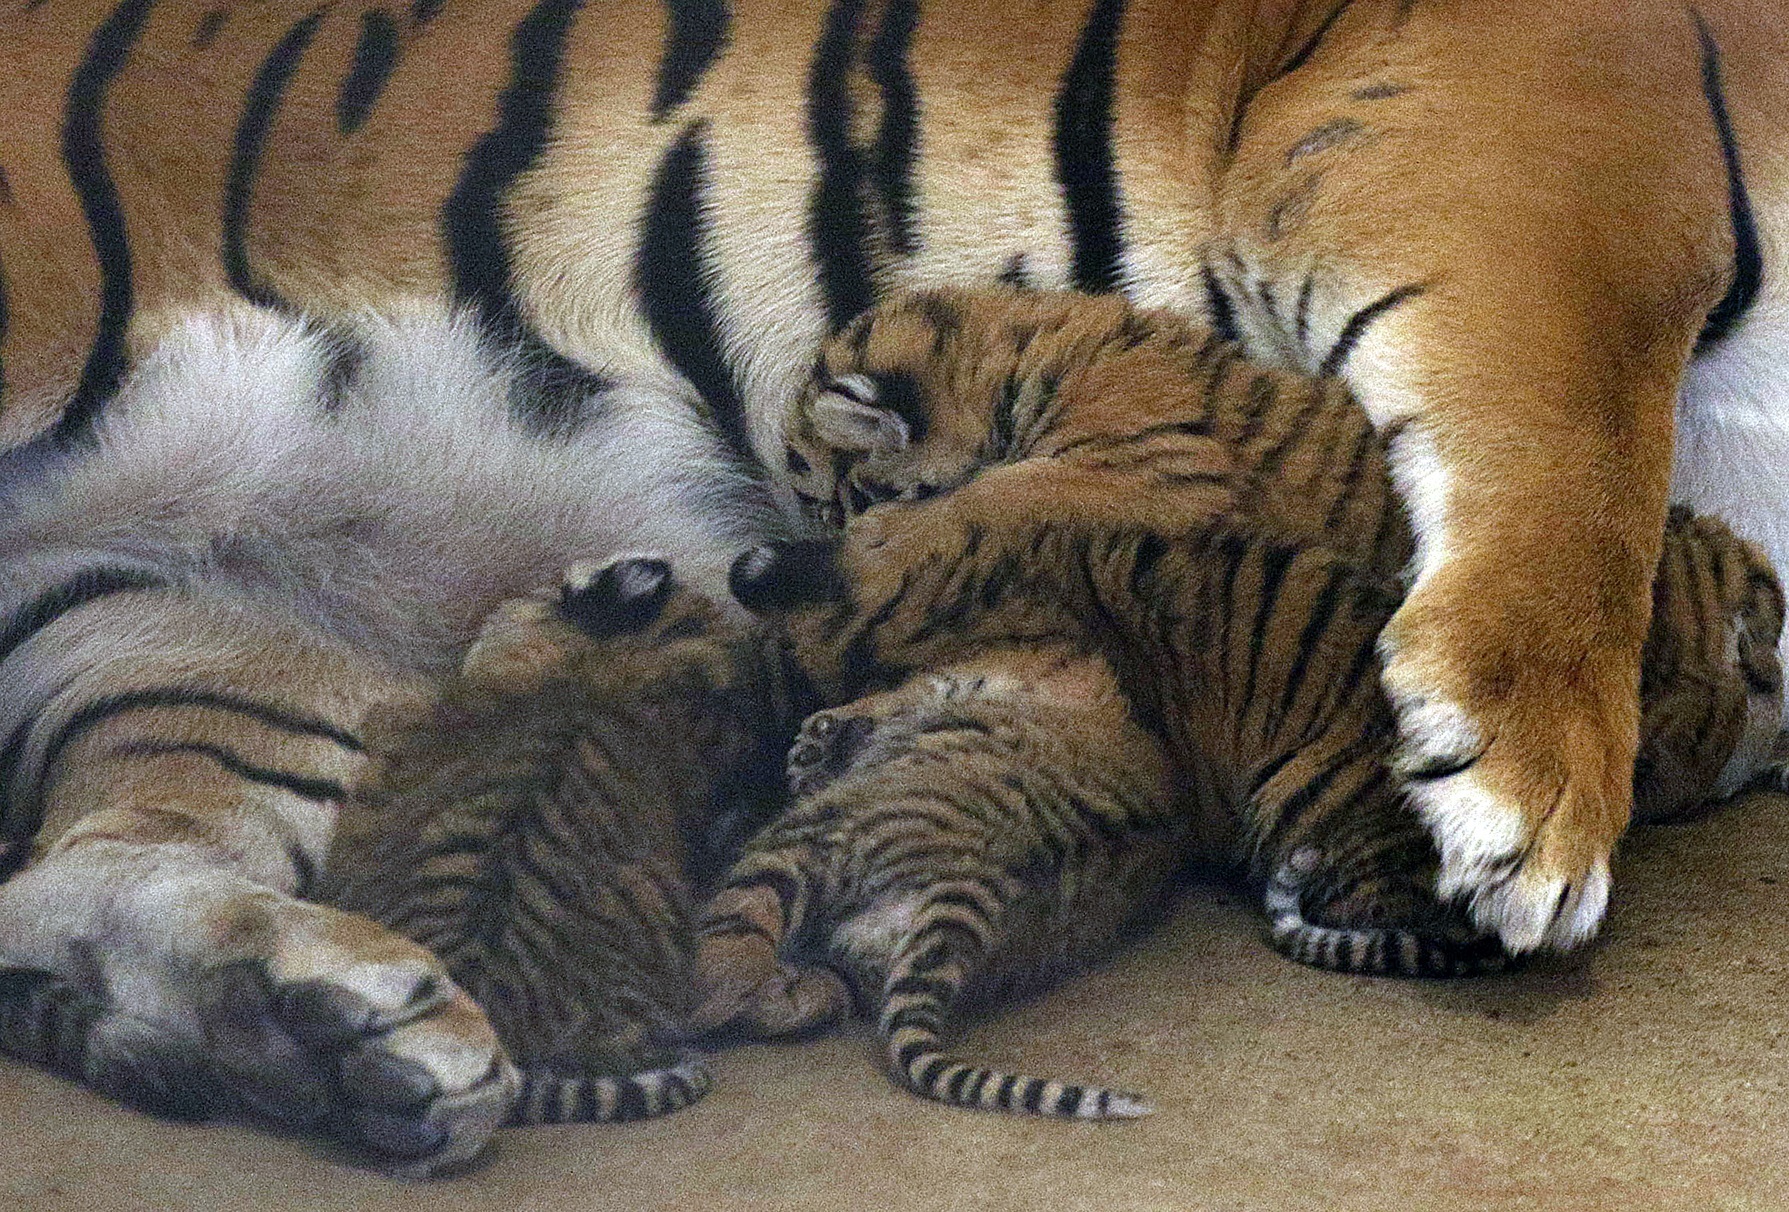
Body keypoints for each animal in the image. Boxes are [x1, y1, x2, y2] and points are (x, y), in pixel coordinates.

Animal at [3, 0, 1789, 1174]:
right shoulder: (1527, 125)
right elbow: (1576, 435)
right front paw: (1531, 799)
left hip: (174, 634)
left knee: (76, 878)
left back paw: (317, 1036)